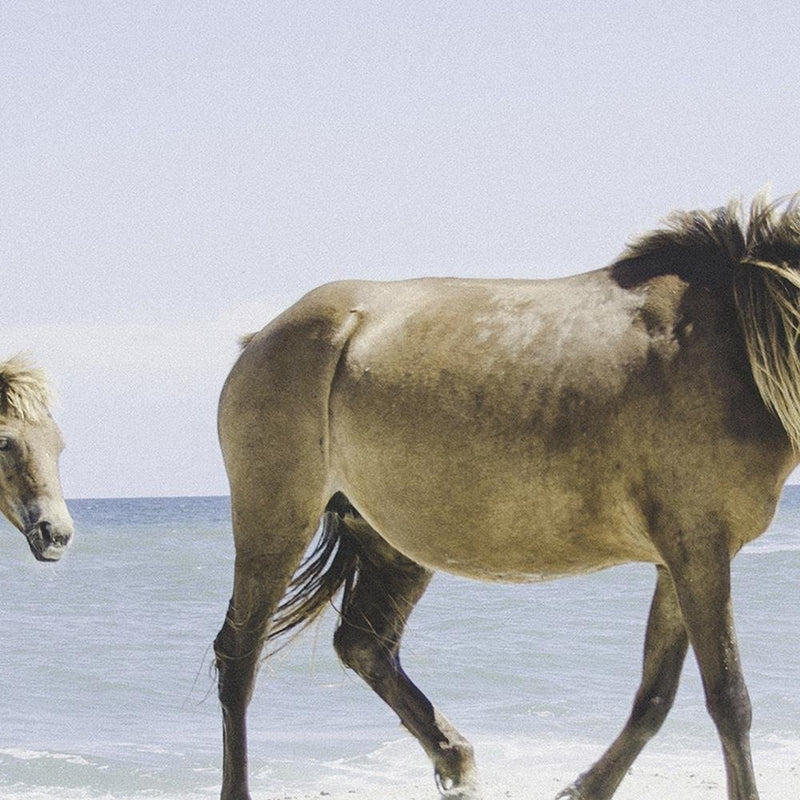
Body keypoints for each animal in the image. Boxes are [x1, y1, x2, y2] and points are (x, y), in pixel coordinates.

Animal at [212, 195, 800, 800]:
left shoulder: (680, 559)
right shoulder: (700, 550)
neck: (732, 346)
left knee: (363, 644)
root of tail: (263, 337)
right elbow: (729, 700)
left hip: (390, 541)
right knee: (238, 658)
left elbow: (654, 698)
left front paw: (585, 789)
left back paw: (456, 761)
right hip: (273, 524)